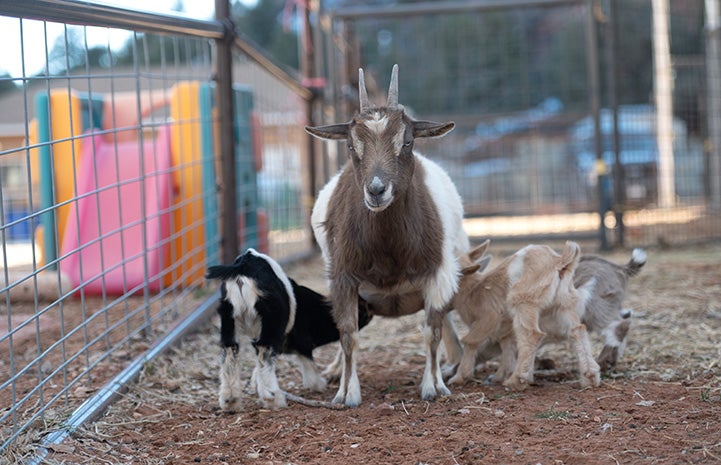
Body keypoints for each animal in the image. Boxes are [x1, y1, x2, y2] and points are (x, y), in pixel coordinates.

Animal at [206, 248, 372, 411]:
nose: (369, 311)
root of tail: (244, 265)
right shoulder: (302, 342)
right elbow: (308, 366)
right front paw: (318, 384)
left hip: (228, 320)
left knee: (230, 351)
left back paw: (230, 400)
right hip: (270, 323)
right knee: (265, 352)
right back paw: (273, 398)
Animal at [305, 64, 469, 407]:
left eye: (407, 142)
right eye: (351, 145)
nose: (377, 189)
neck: (388, 248)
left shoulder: (437, 272)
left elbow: (432, 331)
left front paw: (433, 386)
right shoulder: (343, 277)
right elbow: (348, 334)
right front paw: (346, 393)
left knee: (445, 317)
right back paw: (334, 370)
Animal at [447, 241, 601, 391]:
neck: (474, 289)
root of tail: (559, 261)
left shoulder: (488, 319)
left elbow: (470, 341)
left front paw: (459, 378)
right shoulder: (506, 328)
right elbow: (507, 346)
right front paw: (501, 375)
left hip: (524, 301)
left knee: (533, 335)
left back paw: (516, 380)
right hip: (565, 304)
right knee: (577, 330)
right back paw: (590, 377)